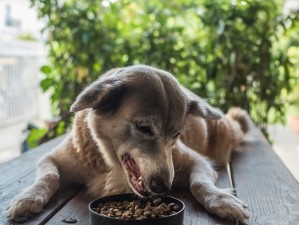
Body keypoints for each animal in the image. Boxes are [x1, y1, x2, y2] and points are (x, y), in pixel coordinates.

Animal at [7, 64, 251, 221]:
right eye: (144, 128)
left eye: (176, 135)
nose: (164, 188)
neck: (107, 161)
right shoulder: (50, 159)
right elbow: (49, 176)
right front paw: (29, 197)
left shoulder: (199, 162)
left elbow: (199, 183)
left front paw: (222, 200)